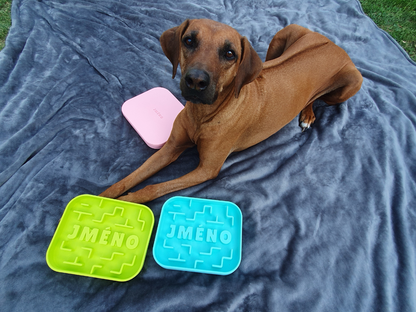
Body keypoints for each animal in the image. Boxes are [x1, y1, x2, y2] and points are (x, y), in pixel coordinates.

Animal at [99, 18, 362, 202]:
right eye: (189, 41)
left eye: (229, 54)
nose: (196, 81)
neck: (203, 115)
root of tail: (334, 44)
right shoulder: (171, 147)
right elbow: (129, 178)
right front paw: (102, 198)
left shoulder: (206, 169)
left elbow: (152, 187)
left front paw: (127, 202)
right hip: (286, 34)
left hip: (352, 82)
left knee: (320, 97)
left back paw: (308, 113)